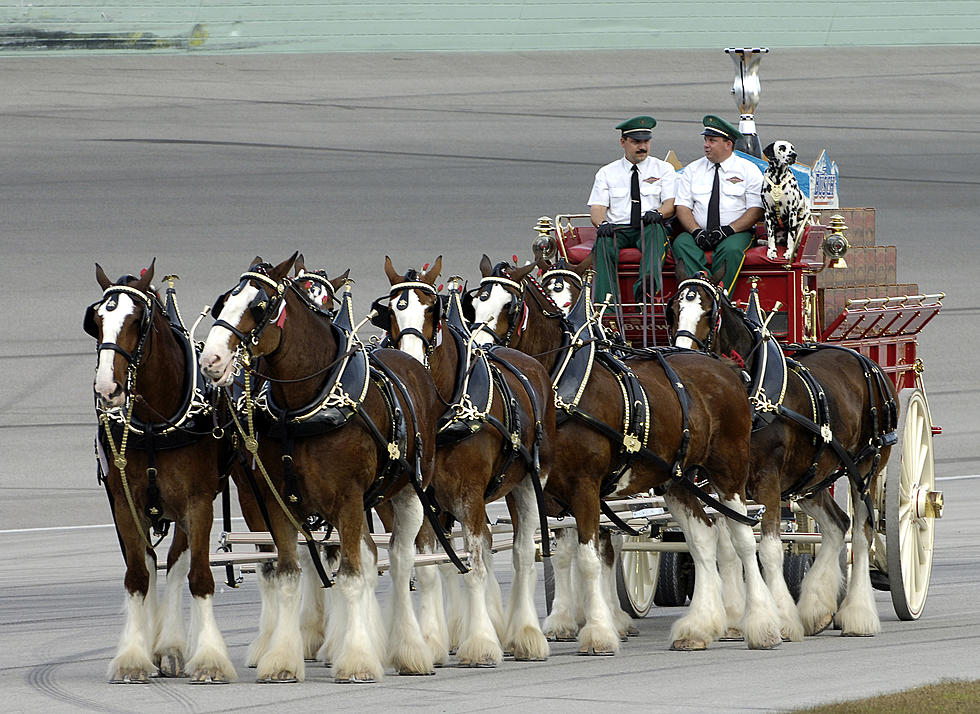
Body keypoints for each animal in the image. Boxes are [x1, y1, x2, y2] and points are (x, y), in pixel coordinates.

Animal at [85, 260, 236, 680]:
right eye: (97, 320)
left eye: (138, 321)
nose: (108, 388)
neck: (154, 425)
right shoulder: (124, 503)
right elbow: (138, 574)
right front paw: (133, 657)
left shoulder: (198, 502)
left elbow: (198, 575)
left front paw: (209, 658)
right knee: (153, 563)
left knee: (178, 561)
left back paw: (170, 645)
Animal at [197, 252, 438, 680]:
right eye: (225, 301)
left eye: (260, 306)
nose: (211, 359)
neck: (305, 407)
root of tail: (410, 361)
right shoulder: (277, 502)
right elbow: (289, 574)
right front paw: (282, 658)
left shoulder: (348, 498)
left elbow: (352, 576)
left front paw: (357, 659)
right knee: (371, 556)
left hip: (407, 492)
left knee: (401, 560)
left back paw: (412, 648)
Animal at [378, 256, 556, 660]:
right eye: (392, 311)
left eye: (433, 310)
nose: (408, 360)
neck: (443, 411)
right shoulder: (426, 498)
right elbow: (431, 566)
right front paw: (431, 642)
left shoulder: (469, 494)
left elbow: (474, 566)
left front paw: (481, 643)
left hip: (527, 484)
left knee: (523, 552)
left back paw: (525, 633)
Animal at [468, 258, 780, 652]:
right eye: (475, 304)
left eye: (510, 307)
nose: (478, 353)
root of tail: (726, 369)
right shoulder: (547, 492)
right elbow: (566, 553)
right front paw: (561, 623)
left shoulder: (585, 486)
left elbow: (590, 557)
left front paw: (600, 631)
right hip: (677, 480)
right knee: (703, 538)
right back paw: (699, 627)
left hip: (729, 470)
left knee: (741, 538)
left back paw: (760, 622)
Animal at [668, 266, 896, 636]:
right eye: (673, 310)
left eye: (709, 313)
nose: (681, 357)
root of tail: (867, 362)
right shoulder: (721, 481)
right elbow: (728, 547)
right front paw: (735, 616)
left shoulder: (767, 480)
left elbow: (770, 550)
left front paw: (779, 618)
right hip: (812, 476)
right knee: (838, 524)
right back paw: (816, 607)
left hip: (865, 468)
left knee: (862, 534)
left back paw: (858, 614)